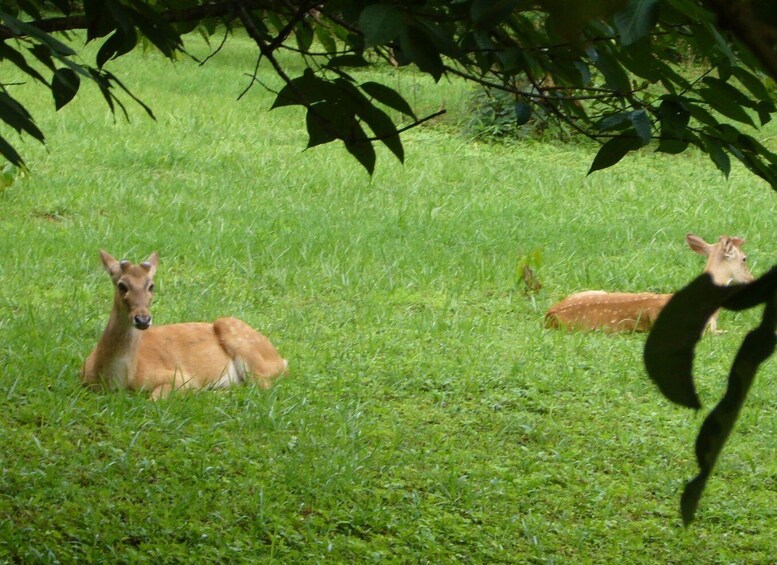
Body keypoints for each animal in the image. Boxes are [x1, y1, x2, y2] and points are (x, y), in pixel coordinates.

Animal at [82, 249, 288, 398]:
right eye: (122, 285)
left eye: (151, 285)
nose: (142, 319)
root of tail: (280, 360)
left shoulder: (180, 377)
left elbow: (155, 398)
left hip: (249, 351)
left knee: (263, 386)